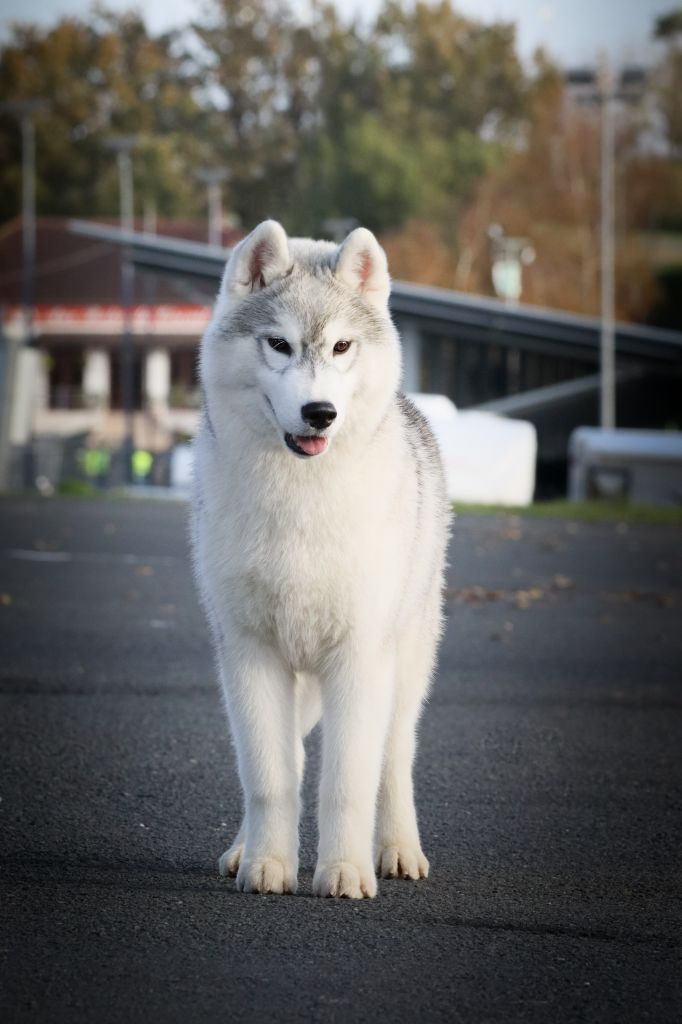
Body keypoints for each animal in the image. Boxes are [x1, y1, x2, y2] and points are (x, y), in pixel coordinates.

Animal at [191, 222, 448, 897]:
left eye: (341, 347)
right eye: (279, 344)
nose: (320, 413)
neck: (299, 501)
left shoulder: (359, 658)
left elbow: (348, 783)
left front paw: (345, 872)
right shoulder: (250, 653)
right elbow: (269, 776)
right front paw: (266, 865)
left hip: (404, 668)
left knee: (394, 759)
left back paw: (398, 851)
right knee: (293, 755)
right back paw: (242, 850)